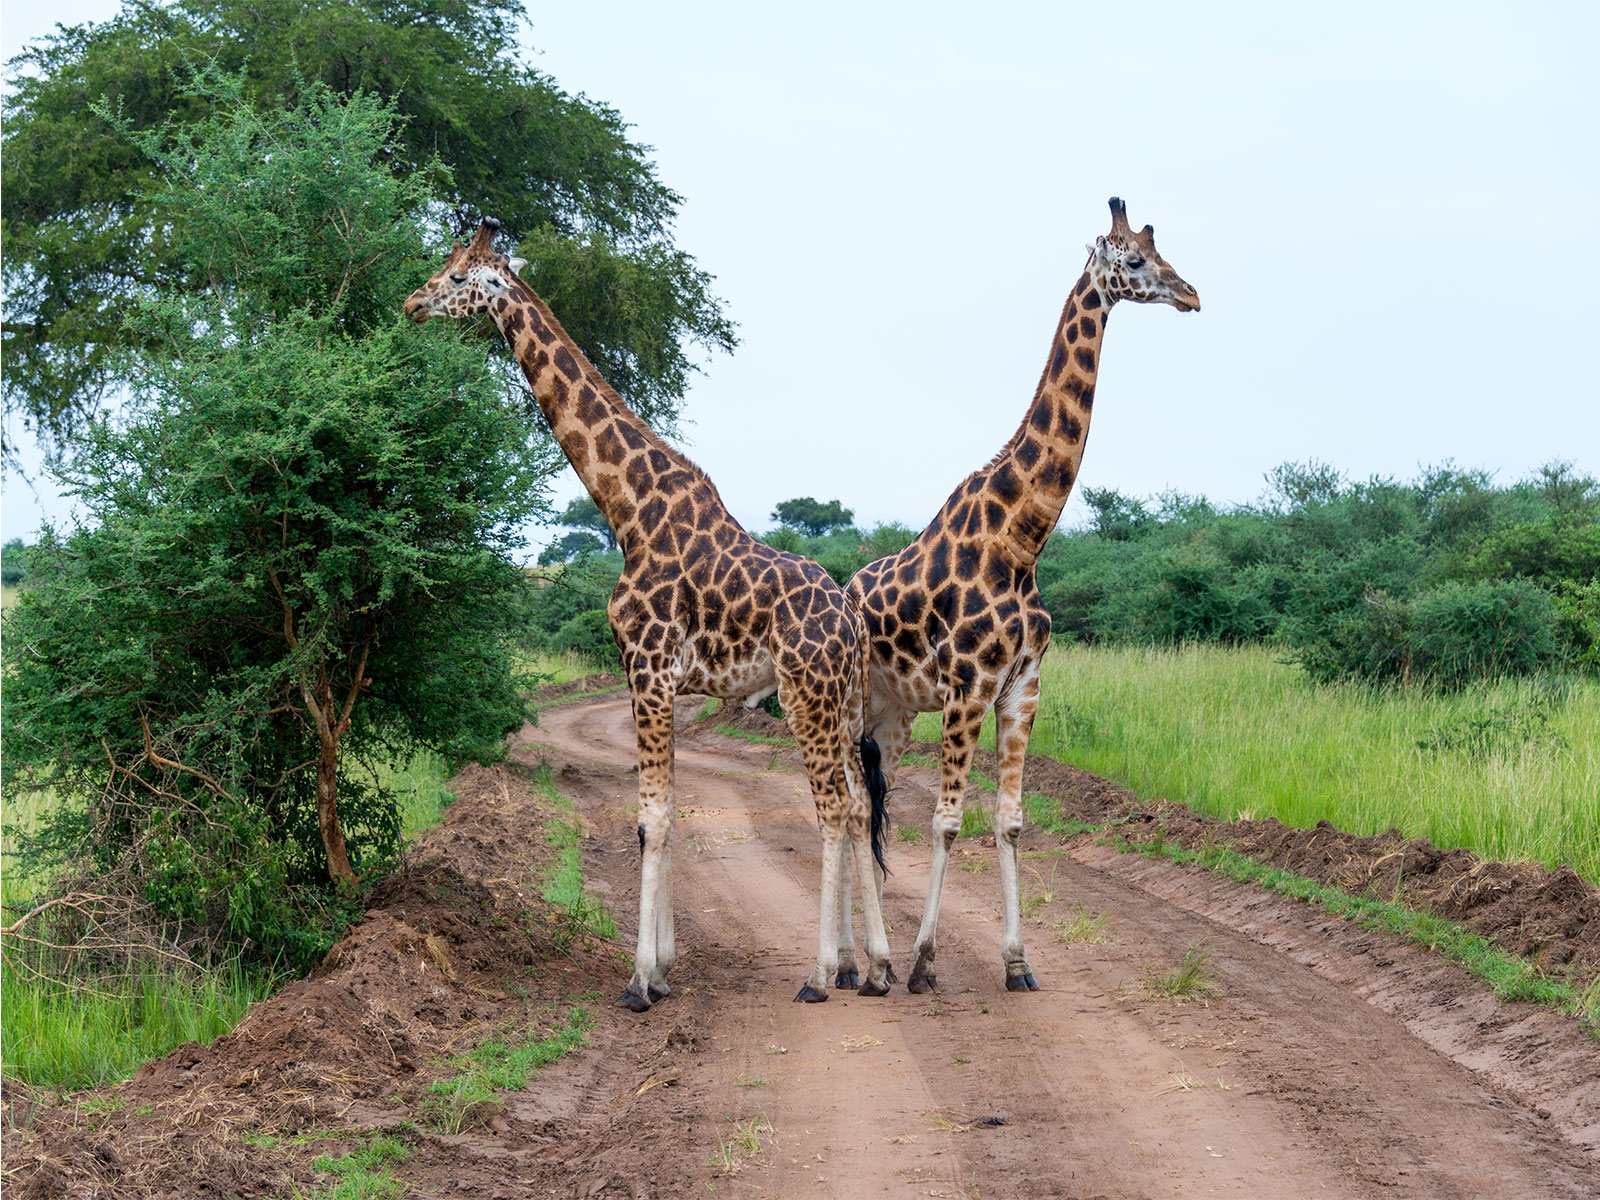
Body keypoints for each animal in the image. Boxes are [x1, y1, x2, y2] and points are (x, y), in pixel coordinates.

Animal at [406, 219, 896, 1017]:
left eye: (455, 277)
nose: (412, 304)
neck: (628, 510)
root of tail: (851, 621)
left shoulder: (647, 667)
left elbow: (652, 817)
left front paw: (640, 981)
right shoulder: (655, 679)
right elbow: (665, 813)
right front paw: (664, 969)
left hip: (806, 697)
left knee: (832, 809)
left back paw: (821, 974)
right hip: (844, 702)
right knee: (857, 806)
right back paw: (875, 966)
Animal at [844, 200, 1196, 998]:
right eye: (1134, 261)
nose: (1192, 295)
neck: (1022, 539)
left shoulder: (1022, 687)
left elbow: (1007, 821)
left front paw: (1017, 962)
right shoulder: (969, 684)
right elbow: (947, 821)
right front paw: (925, 963)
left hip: (891, 712)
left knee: (868, 803)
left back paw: (870, 960)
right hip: (847, 702)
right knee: (843, 805)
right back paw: (860, 964)